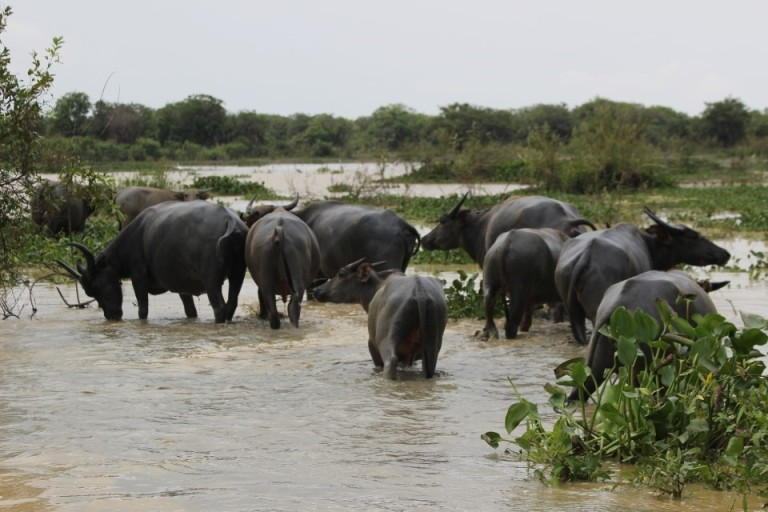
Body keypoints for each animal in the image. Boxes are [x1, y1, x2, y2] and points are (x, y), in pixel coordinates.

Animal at [56, 199, 248, 322]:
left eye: (95, 287)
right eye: (89, 293)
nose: (111, 316)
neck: (136, 235)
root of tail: (230, 221)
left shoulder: (138, 278)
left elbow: (143, 309)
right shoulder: (182, 286)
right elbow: (190, 310)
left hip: (211, 282)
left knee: (220, 307)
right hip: (237, 275)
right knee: (231, 304)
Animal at [312, 260, 448, 380]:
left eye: (341, 273)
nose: (316, 290)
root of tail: (419, 292)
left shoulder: (372, 346)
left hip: (386, 340)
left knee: (390, 361)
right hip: (432, 345)